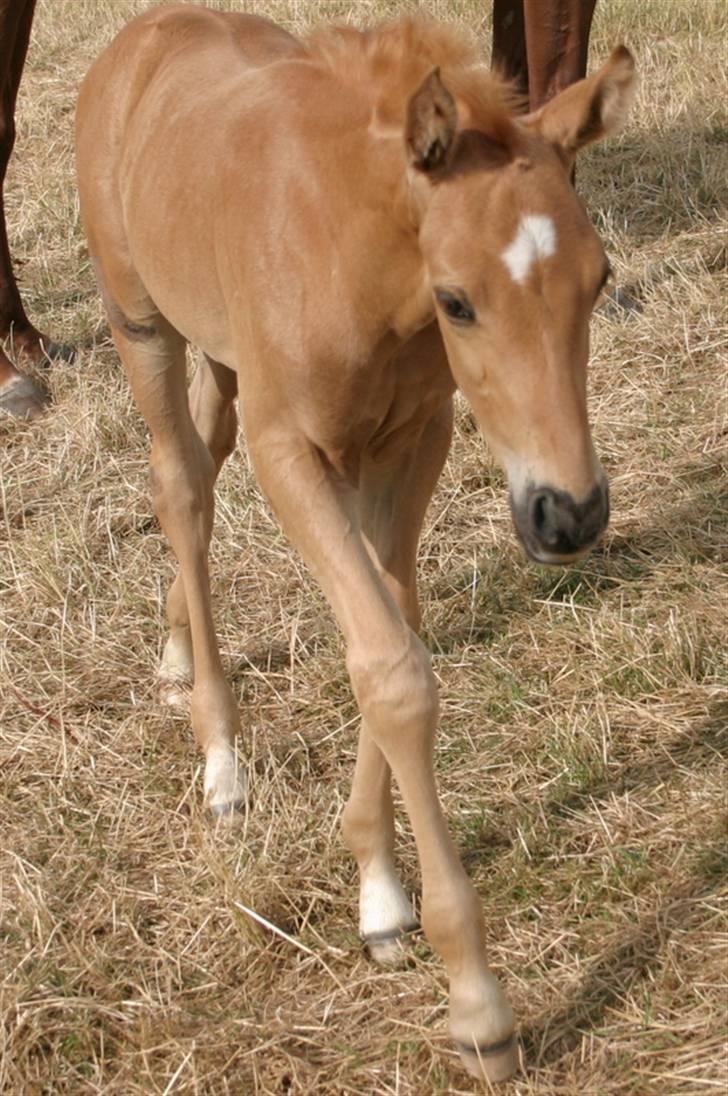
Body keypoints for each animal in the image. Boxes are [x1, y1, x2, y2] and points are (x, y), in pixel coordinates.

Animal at [75, 8, 631, 1082]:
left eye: (600, 279)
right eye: (458, 301)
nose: (569, 514)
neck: (351, 247)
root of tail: (139, 36)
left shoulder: (417, 436)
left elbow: (394, 627)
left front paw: (378, 889)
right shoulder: (291, 449)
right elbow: (391, 667)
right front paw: (478, 1008)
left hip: (221, 353)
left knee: (199, 460)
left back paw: (173, 647)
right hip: (141, 323)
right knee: (182, 493)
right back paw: (221, 761)